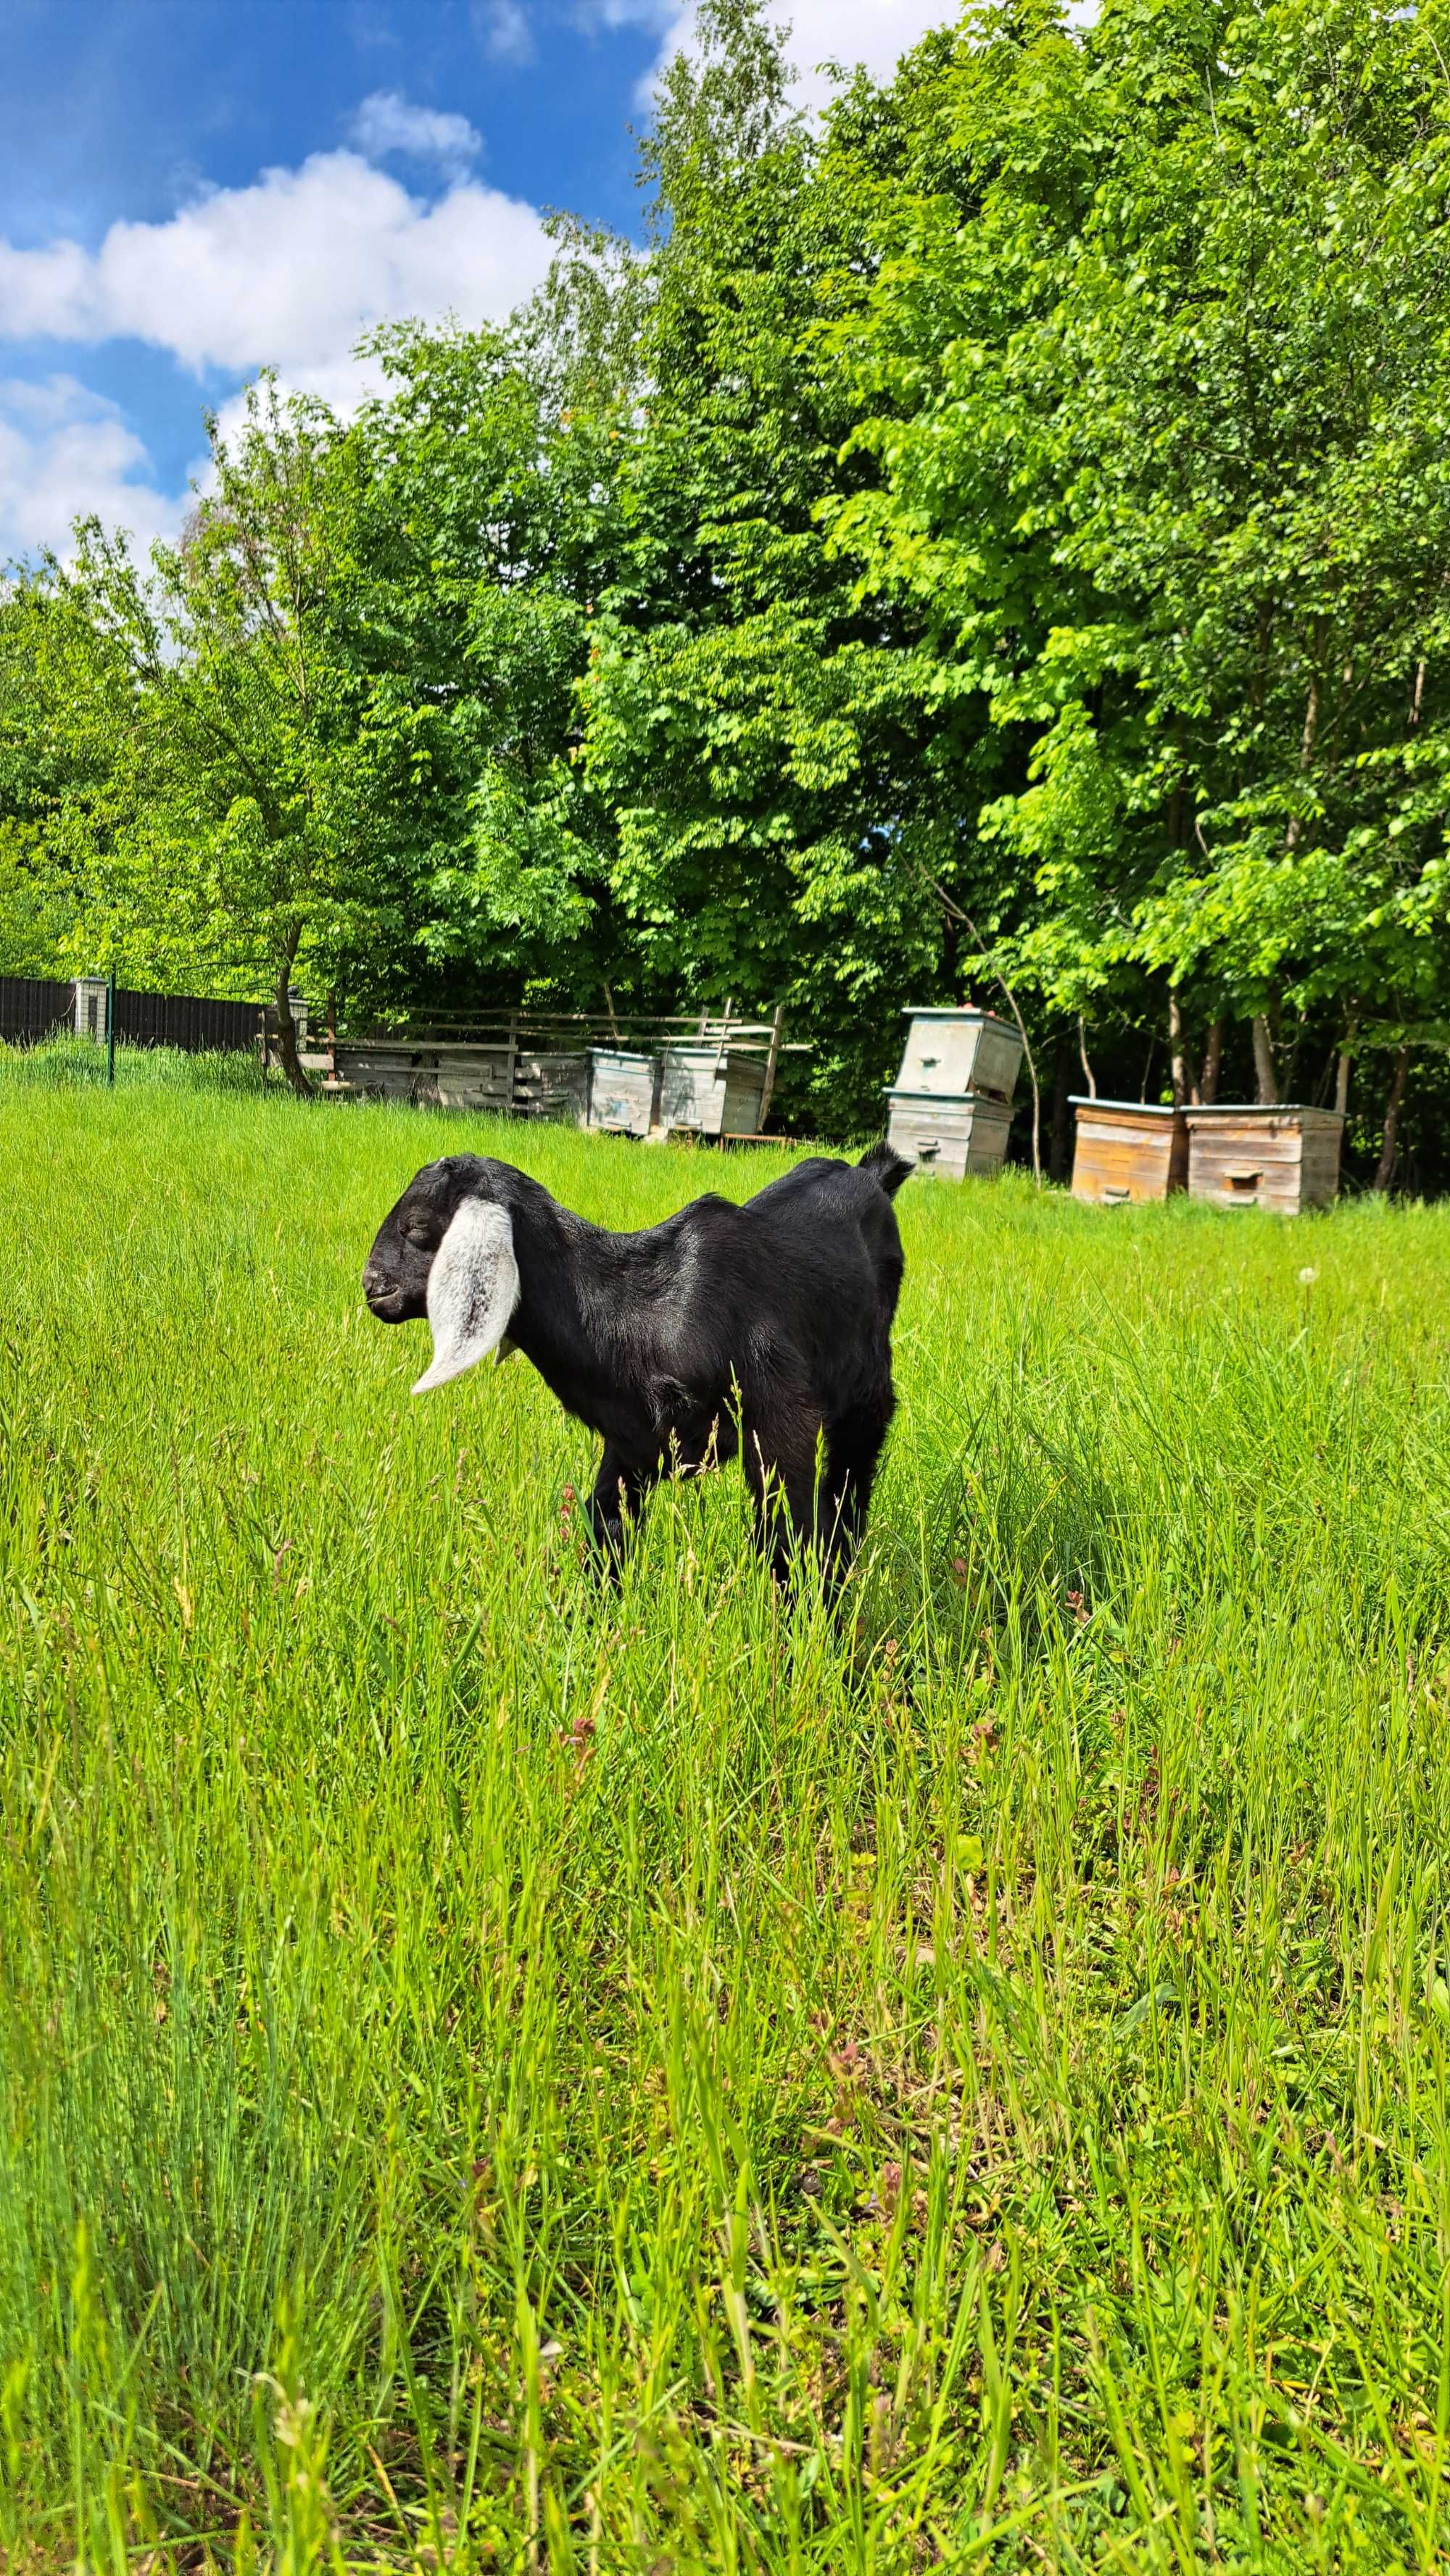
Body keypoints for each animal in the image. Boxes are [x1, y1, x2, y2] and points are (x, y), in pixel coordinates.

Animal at [362, 1143, 906, 1566]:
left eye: (418, 1228)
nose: (372, 1286)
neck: (640, 1312)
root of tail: (869, 1172)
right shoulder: (633, 1443)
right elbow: (606, 1529)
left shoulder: (780, 1421)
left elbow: (791, 1536)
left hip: (867, 1388)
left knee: (852, 1473)